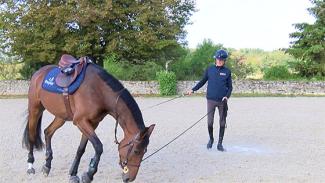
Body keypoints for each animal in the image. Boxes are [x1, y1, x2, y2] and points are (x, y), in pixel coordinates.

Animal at [22, 60, 155, 182]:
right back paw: (30, 166)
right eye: (137, 151)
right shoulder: (81, 122)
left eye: (145, 151)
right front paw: (89, 174)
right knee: (32, 136)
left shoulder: (92, 123)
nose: (129, 178)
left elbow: (81, 149)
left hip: (61, 117)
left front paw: (73, 174)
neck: (98, 91)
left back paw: (47, 166)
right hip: (35, 110)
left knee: (48, 132)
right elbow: (98, 146)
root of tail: (38, 73)